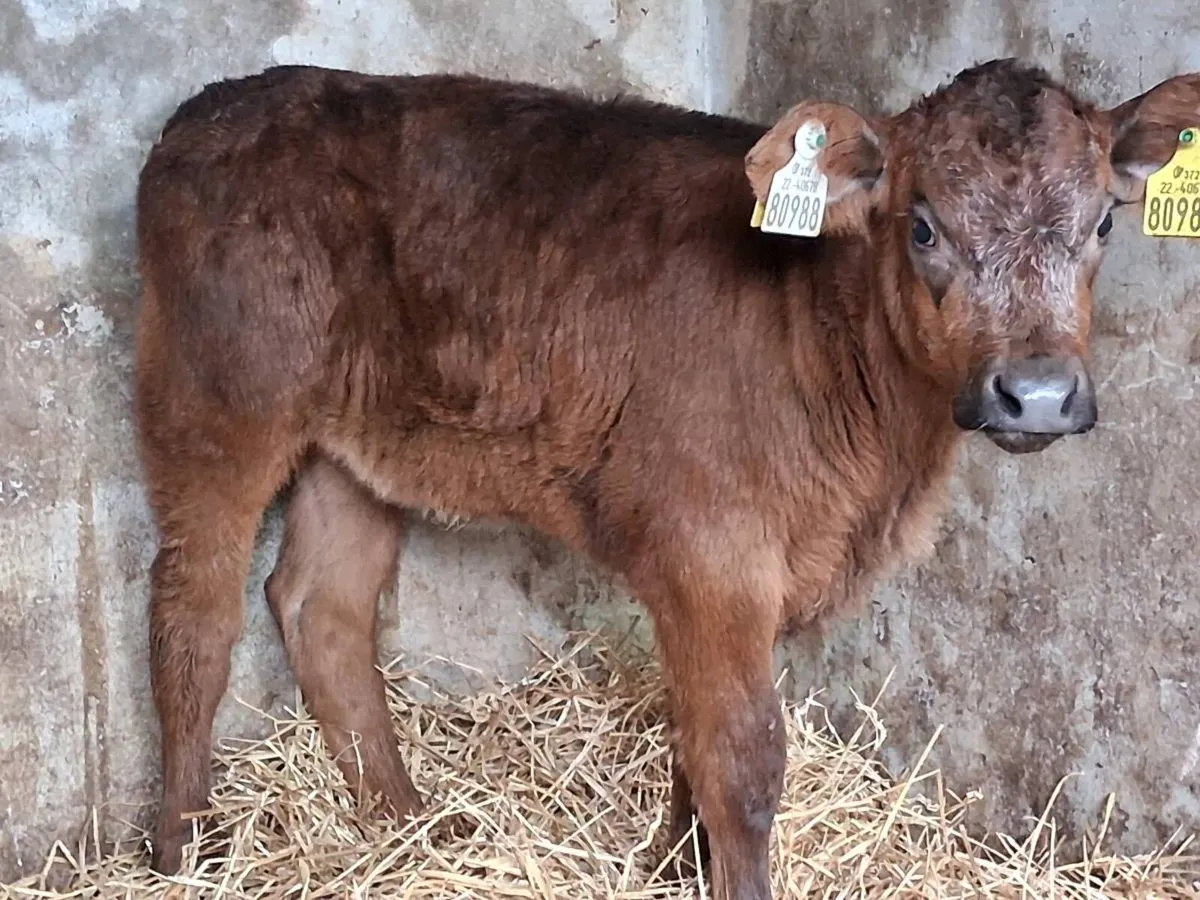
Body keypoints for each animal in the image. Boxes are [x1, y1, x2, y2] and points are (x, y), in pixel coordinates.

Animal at [132, 58, 1200, 899]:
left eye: (1105, 221)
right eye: (924, 226)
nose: (1037, 393)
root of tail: (216, 105)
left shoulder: (743, 578)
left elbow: (694, 733)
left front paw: (672, 870)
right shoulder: (711, 554)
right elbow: (742, 763)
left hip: (357, 445)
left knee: (322, 605)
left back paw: (410, 826)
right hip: (215, 403)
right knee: (194, 614)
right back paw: (185, 851)